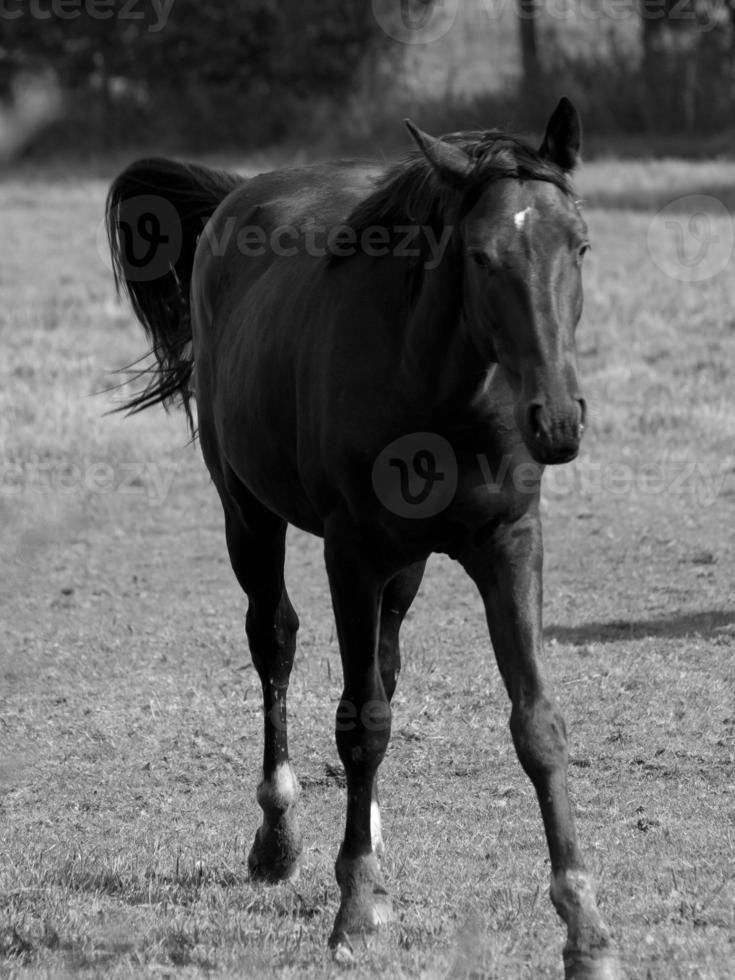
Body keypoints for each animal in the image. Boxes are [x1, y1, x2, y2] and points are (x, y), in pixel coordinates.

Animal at [109, 95, 624, 976]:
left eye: (580, 245)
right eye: (482, 255)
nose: (557, 421)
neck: (444, 390)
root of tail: (238, 195)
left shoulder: (509, 544)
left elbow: (536, 725)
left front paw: (584, 930)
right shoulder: (348, 553)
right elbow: (361, 722)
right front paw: (351, 908)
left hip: (404, 565)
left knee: (382, 661)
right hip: (249, 513)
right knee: (274, 641)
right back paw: (279, 838)